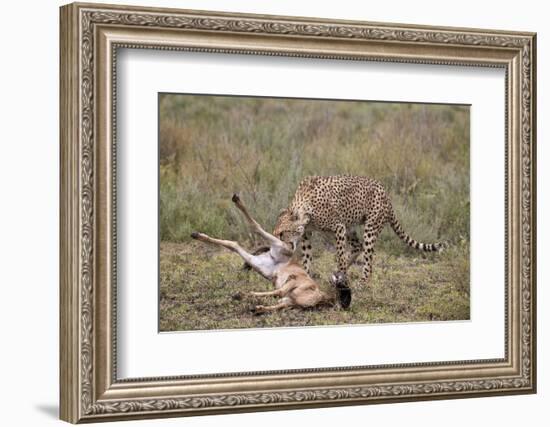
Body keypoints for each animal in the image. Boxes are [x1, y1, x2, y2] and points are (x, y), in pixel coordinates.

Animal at [274, 176, 446, 286]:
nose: (277, 245)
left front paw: (342, 277)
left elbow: (340, 255)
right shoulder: (307, 234)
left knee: (368, 261)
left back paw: (361, 283)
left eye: (281, 233)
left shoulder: (338, 227)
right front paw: (307, 277)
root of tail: (386, 194)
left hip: (370, 227)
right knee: (358, 246)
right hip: (350, 227)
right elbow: (307, 258)